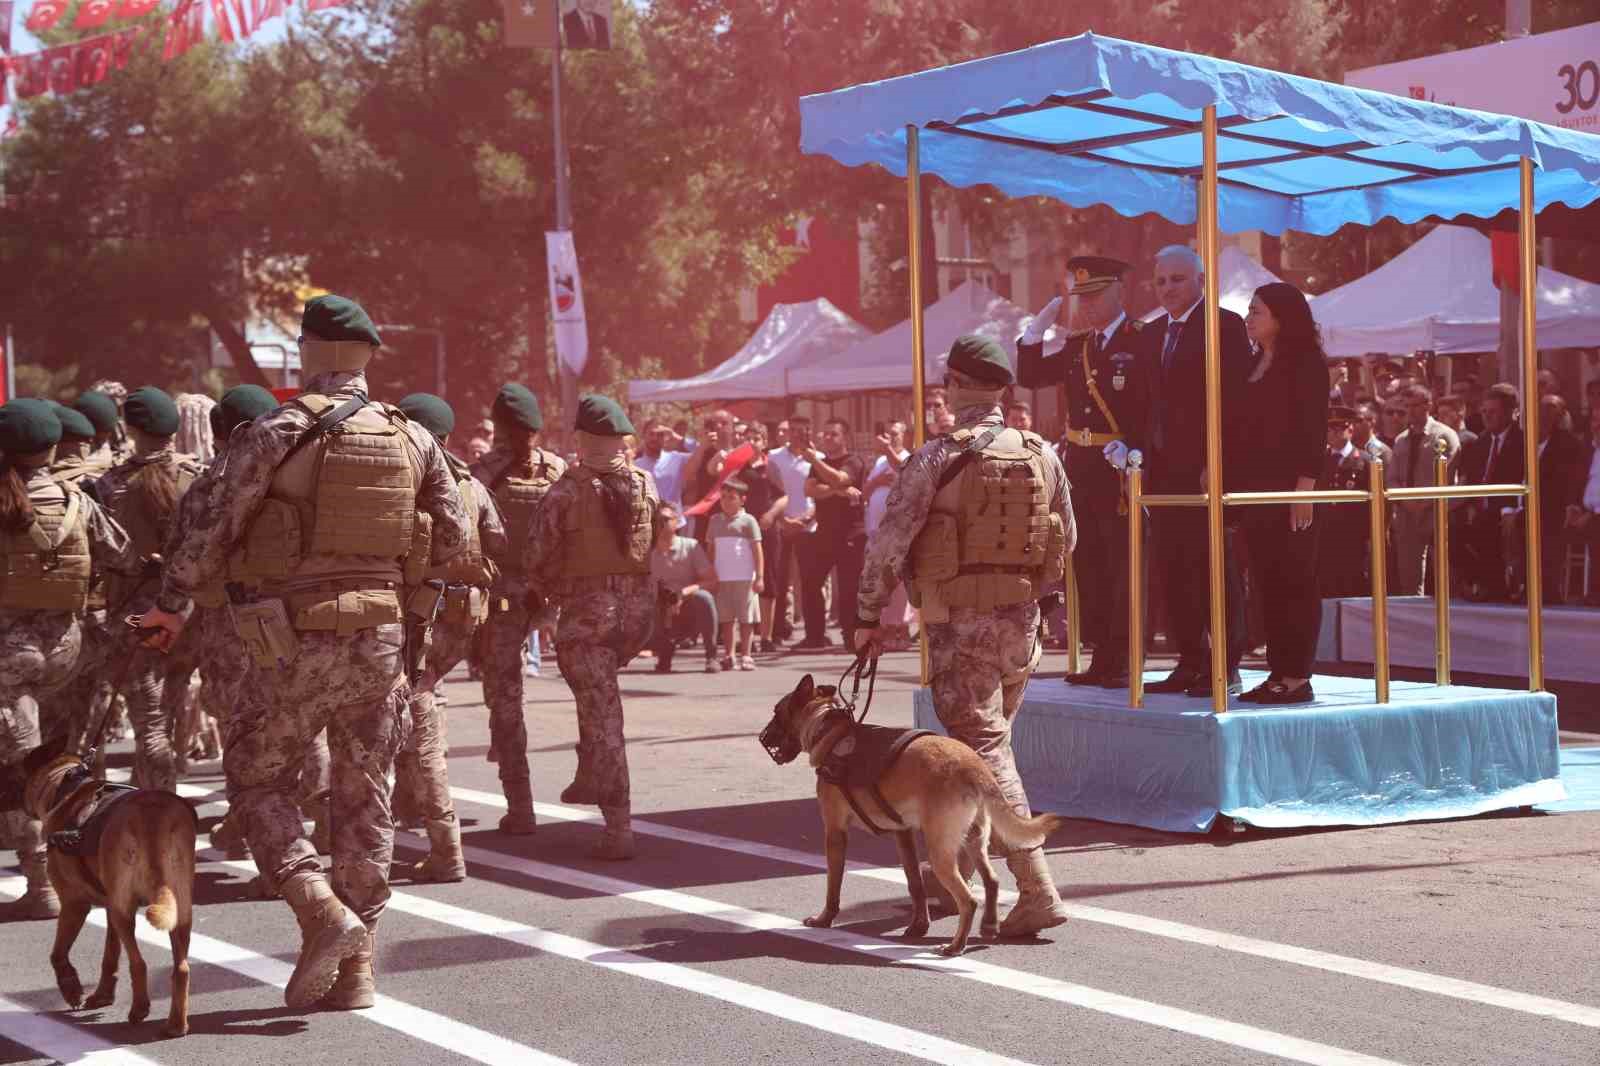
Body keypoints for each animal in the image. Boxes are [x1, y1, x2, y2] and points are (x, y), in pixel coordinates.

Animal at [24, 742, 197, 1030]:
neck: (68, 787)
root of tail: (152, 816)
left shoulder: (74, 904)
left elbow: (58, 953)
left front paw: (72, 989)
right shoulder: (109, 906)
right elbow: (110, 953)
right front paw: (103, 995)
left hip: (124, 911)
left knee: (139, 964)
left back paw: (139, 1010)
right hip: (177, 910)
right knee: (181, 967)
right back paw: (176, 1024)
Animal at [758, 672, 1062, 953]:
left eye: (776, 712)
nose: (763, 736)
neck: (828, 730)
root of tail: (974, 766)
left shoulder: (834, 833)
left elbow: (833, 885)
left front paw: (824, 919)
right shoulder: (902, 834)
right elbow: (914, 882)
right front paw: (918, 926)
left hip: (940, 851)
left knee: (968, 899)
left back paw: (956, 946)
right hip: (973, 840)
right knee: (992, 881)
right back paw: (989, 926)